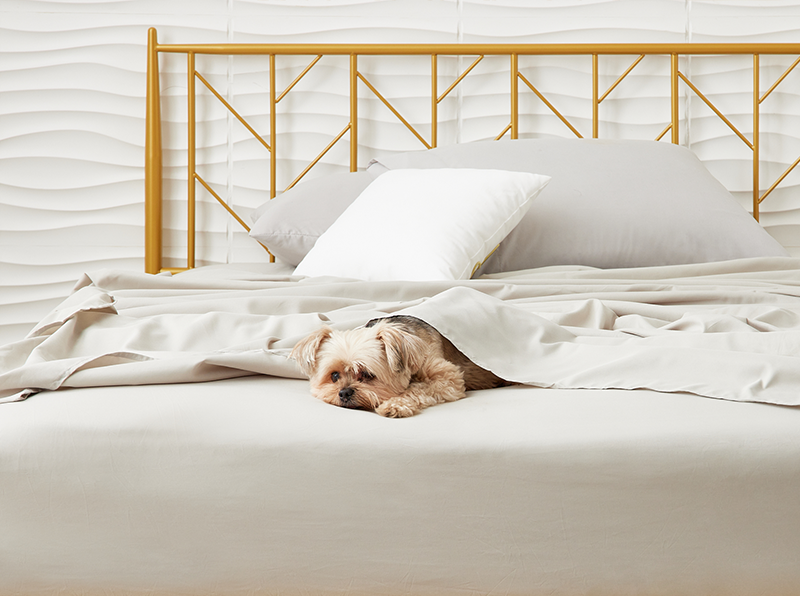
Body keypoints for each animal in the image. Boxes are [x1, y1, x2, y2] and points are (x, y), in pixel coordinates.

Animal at [290, 314, 510, 416]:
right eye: (334, 375)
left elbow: (418, 388)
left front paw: (394, 405)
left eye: (367, 374)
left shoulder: (448, 378)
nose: (343, 393)